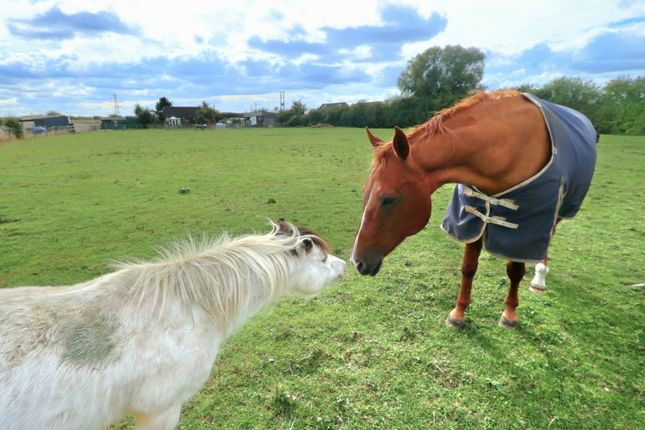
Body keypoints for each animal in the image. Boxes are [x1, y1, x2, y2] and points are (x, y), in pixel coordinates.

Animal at [350, 89, 596, 328]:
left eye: (388, 199)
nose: (357, 261)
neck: (504, 147)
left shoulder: (526, 225)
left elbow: (515, 271)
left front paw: (510, 313)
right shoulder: (475, 216)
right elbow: (468, 267)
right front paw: (458, 314)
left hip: (556, 213)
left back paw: (540, 278)